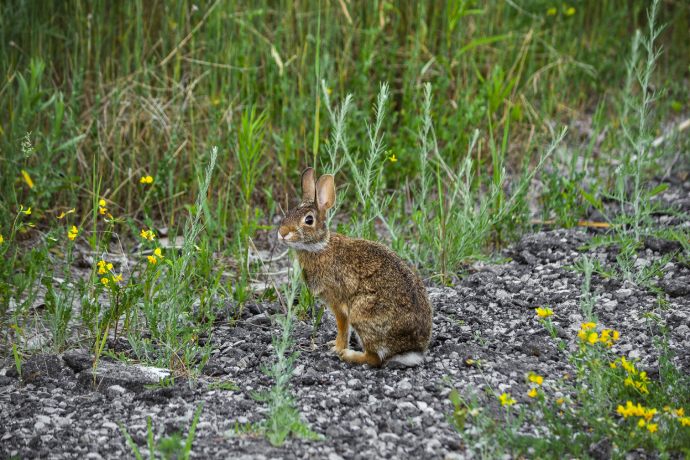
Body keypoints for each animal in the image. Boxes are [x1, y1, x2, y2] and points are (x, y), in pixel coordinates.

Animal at [276, 169, 430, 366]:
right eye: (289, 212)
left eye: (308, 220)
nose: (282, 233)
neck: (319, 246)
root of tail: (410, 350)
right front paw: (332, 344)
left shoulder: (337, 302)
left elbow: (343, 327)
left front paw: (337, 347)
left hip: (362, 312)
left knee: (375, 358)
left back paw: (348, 355)